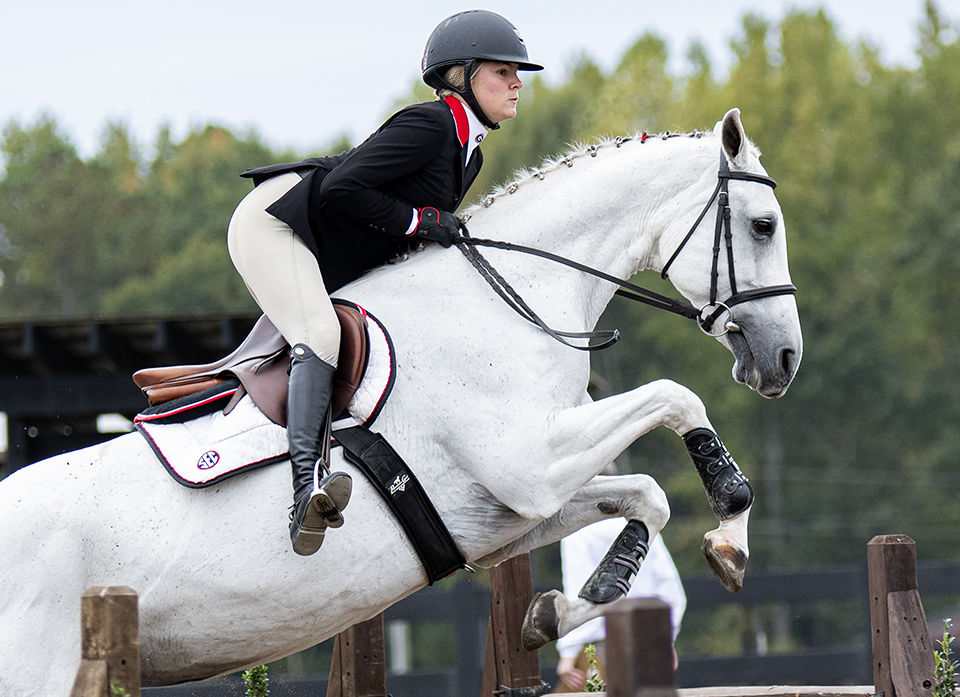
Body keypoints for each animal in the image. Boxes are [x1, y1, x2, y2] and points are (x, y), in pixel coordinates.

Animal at [0, 109, 800, 696]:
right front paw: (731, 514)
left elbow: (645, 497)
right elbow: (675, 397)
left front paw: (570, 604)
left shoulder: (502, 516)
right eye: (763, 225)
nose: (784, 360)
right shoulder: (530, 463)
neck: (512, 297)